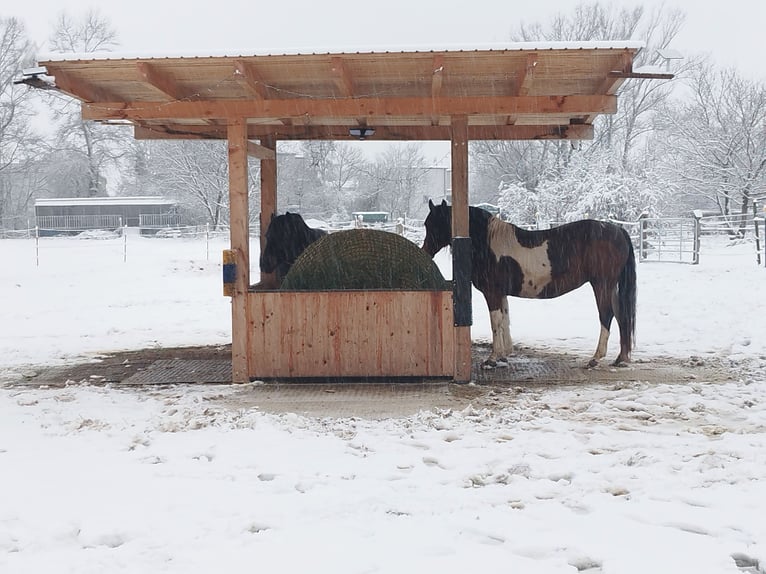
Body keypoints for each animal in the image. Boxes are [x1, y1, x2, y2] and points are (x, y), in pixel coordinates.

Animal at [422, 199, 636, 368]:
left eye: (434, 224)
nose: (425, 252)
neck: (487, 242)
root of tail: (618, 230)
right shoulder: (501, 293)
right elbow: (505, 320)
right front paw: (504, 356)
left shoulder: (492, 293)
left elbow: (495, 321)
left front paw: (492, 358)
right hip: (611, 286)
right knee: (621, 316)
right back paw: (621, 358)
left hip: (601, 284)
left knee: (606, 314)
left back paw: (595, 358)